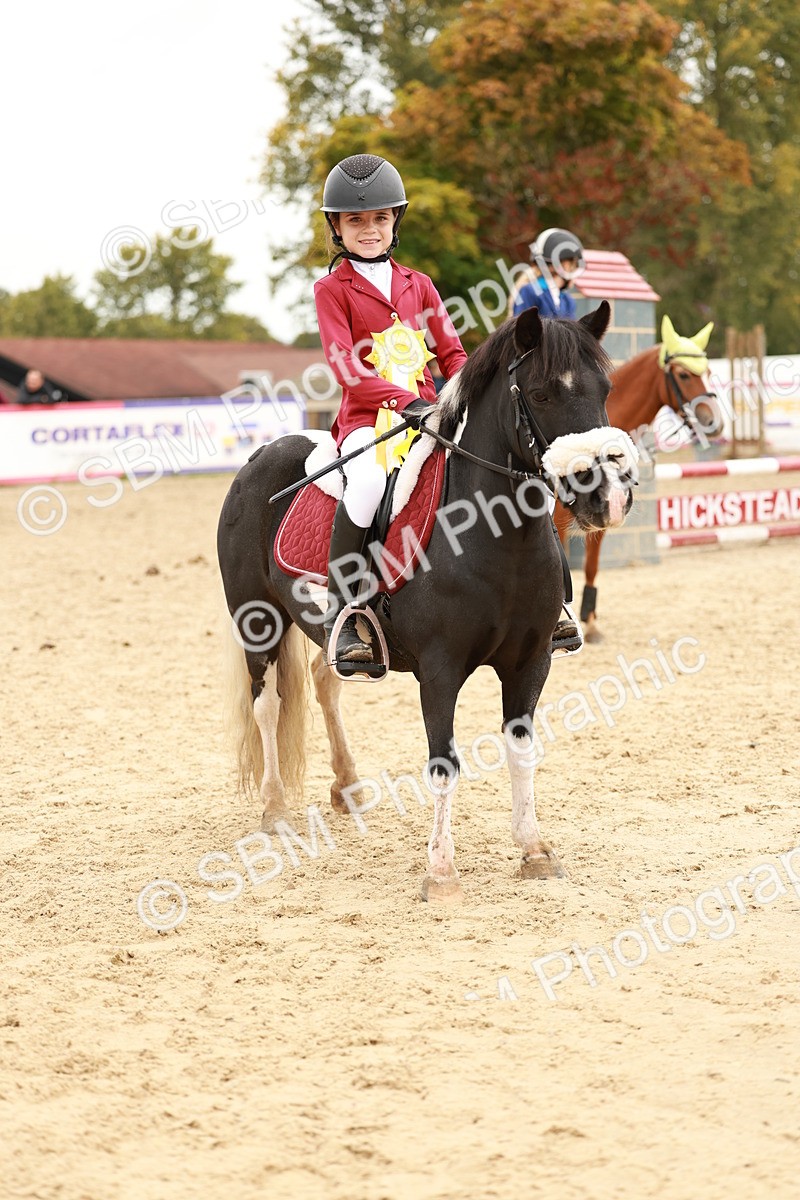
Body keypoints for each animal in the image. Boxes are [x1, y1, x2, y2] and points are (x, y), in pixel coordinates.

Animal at [216, 301, 638, 902]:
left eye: (606, 389)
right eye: (540, 395)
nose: (608, 496)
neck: (496, 539)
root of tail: (262, 452)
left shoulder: (532, 662)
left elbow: (522, 751)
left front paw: (534, 851)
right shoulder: (440, 672)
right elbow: (444, 764)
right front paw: (440, 873)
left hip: (324, 627)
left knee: (326, 682)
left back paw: (348, 787)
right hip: (258, 621)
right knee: (267, 706)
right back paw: (275, 812)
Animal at [553, 316, 723, 639]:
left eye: (708, 372)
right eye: (684, 375)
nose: (714, 423)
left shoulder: (605, 510)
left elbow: (592, 564)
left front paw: (590, 621)